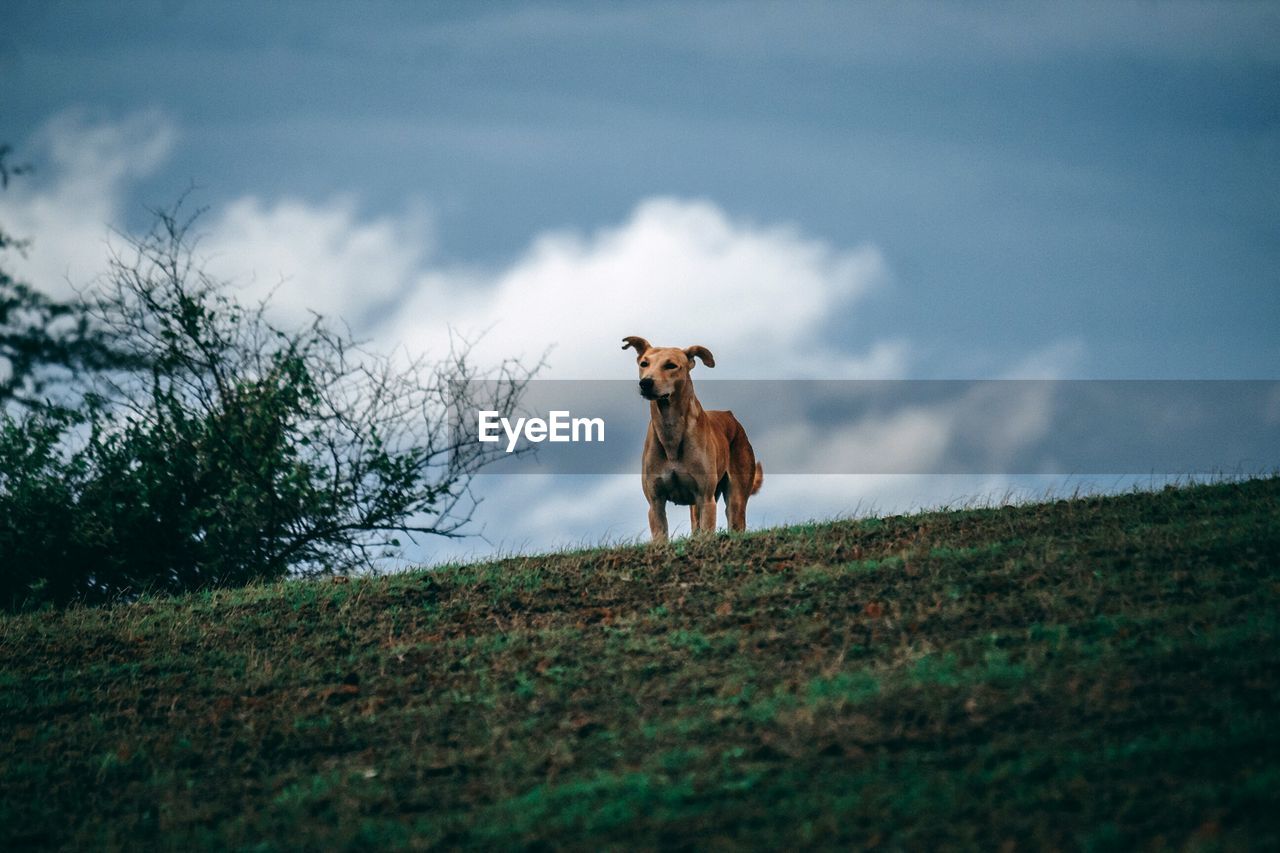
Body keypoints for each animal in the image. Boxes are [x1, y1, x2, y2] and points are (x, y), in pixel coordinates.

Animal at [619, 335, 757, 540]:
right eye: (644, 363)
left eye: (671, 365)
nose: (645, 383)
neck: (671, 433)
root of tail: (729, 415)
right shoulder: (655, 502)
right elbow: (660, 535)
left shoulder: (706, 499)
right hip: (694, 507)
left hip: (736, 496)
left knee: (735, 515)